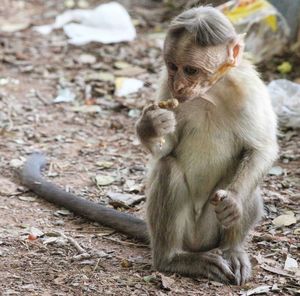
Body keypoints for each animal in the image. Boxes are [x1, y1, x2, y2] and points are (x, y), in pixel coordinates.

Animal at [21, 5, 278, 286]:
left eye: (191, 70)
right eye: (173, 66)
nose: (179, 86)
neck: (210, 94)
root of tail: (198, 244)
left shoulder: (250, 88)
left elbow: (262, 148)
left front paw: (233, 202)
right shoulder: (166, 84)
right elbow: (165, 150)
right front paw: (150, 126)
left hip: (211, 230)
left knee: (246, 180)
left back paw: (232, 249)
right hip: (187, 232)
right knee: (168, 169)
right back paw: (173, 259)